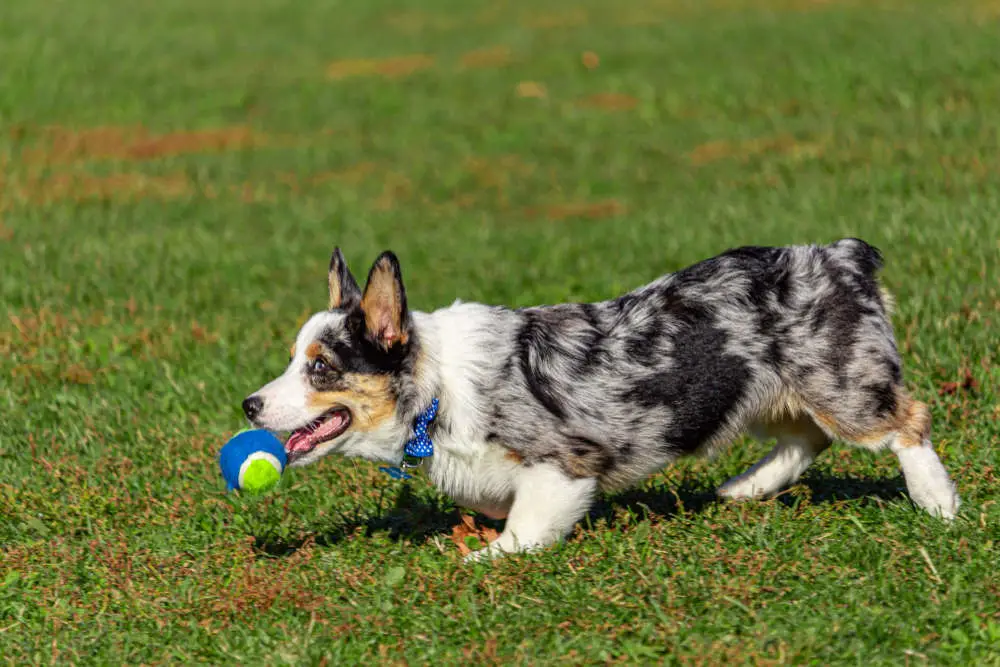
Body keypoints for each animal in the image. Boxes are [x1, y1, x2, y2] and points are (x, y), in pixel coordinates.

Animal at [242, 239, 960, 560]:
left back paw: (939, 502)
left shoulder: (564, 463)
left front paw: (480, 558)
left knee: (906, 421)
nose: (249, 405)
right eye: (294, 359)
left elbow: (524, 528)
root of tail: (843, 255)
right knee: (805, 438)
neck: (435, 387)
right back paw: (745, 487)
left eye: (321, 368)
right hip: (762, 394)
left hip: (840, 382)